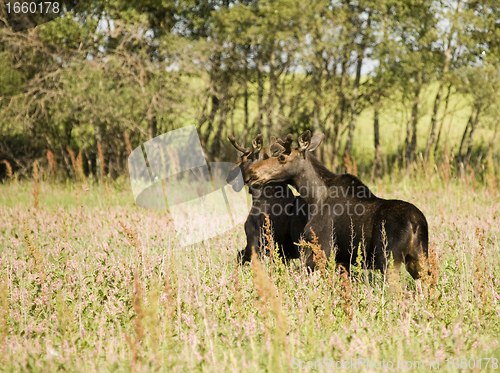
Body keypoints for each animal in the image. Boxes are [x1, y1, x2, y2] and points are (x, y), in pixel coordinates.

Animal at [227, 134, 308, 264]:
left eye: (243, 157)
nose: (229, 175)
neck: (257, 194)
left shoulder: (254, 243)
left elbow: (239, 256)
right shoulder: (282, 254)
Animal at [244, 129, 428, 278]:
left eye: (281, 157)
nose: (250, 173)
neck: (313, 198)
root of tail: (416, 224)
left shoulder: (322, 249)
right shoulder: (342, 259)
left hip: (389, 259)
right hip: (419, 259)